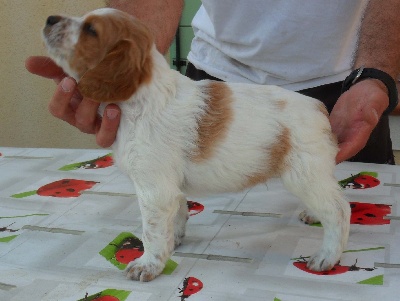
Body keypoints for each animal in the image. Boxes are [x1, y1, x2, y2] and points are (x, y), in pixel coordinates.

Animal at [42, 7, 350, 282]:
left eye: (91, 30)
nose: (49, 18)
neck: (143, 98)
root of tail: (319, 107)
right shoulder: (171, 188)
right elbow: (177, 215)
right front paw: (174, 241)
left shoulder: (154, 190)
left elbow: (151, 231)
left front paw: (148, 264)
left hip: (304, 175)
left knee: (339, 210)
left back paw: (327, 257)